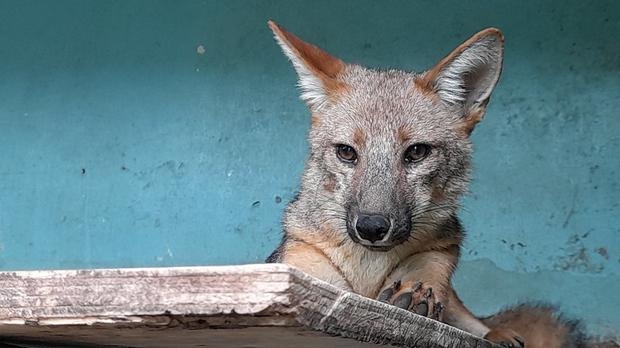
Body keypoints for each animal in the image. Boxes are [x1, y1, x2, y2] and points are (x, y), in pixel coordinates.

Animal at [264, 19, 584, 348]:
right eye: (346, 152)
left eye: (417, 152)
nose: (371, 227)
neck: (369, 273)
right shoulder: (301, 266)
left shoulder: (442, 248)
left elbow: (427, 268)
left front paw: (417, 291)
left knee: (479, 324)